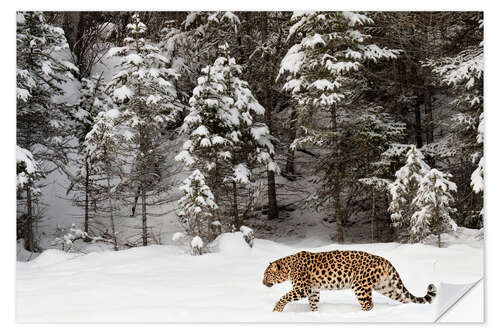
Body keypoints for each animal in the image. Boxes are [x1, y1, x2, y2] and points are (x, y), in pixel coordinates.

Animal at [262, 249, 438, 312]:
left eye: (266, 275)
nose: (263, 283)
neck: (288, 268)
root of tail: (383, 259)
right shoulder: (313, 290)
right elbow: (313, 304)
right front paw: (314, 315)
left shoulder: (301, 289)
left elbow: (284, 297)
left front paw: (276, 310)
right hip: (385, 286)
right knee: (403, 298)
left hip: (360, 286)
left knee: (368, 305)